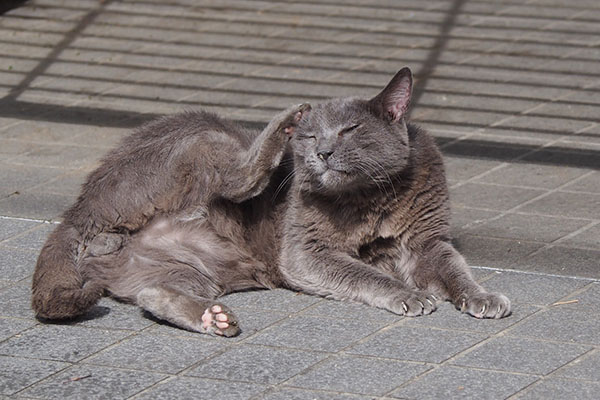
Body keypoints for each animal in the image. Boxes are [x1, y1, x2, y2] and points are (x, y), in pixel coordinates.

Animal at [31, 69, 510, 338]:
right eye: (312, 137)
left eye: (350, 130)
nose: (322, 153)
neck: (372, 197)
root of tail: (75, 210)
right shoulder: (304, 251)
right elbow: (364, 272)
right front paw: (408, 294)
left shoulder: (428, 240)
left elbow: (454, 268)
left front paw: (483, 297)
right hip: (205, 133)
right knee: (236, 177)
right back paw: (282, 121)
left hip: (181, 268)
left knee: (154, 292)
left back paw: (213, 319)